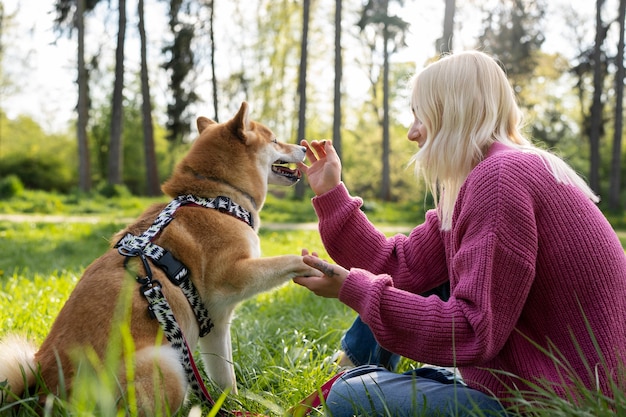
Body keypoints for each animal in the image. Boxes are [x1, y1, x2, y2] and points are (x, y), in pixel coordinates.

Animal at [0, 101, 322, 412]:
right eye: (276, 140)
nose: (304, 147)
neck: (217, 198)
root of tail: (45, 391)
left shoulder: (213, 325)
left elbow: (222, 376)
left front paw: (227, 404)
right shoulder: (231, 284)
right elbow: (286, 262)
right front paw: (312, 265)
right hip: (167, 363)